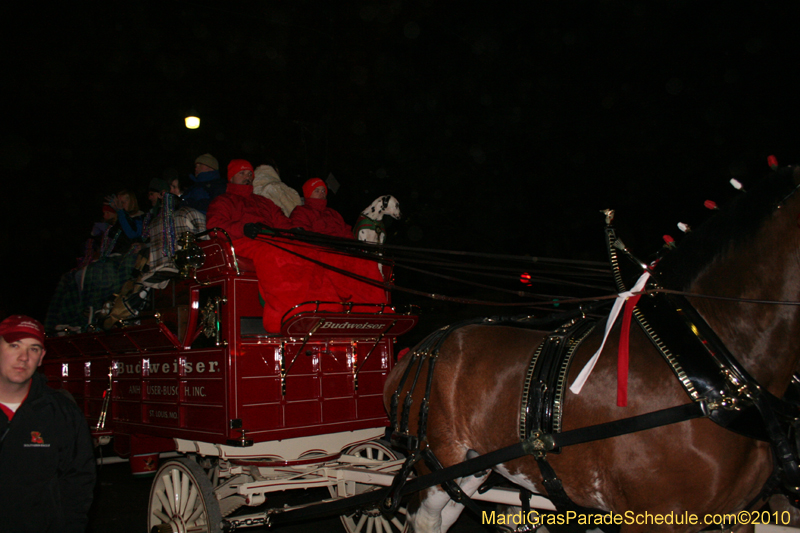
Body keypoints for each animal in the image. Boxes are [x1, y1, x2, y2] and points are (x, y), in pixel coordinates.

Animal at [384, 164, 800, 528]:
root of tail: (418, 350)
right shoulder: (654, 517)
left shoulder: (736, 517)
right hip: (437, 464)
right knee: (426, 519)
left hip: (476, 464)